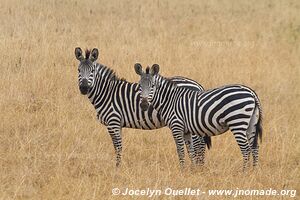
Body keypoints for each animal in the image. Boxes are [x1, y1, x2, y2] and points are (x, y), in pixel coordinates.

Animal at [74, 47, 211, 166]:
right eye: (78, 70)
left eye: (92, 71)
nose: (84, 88)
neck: (107, 93)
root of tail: (197, 85)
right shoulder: (118, 124)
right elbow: (119, 146)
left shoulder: (113, 121)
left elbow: (117, 147)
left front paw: (117, 168)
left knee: (199, 144)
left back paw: (199, 167)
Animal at [134, 63, 262, 170]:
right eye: (140, 86)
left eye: (153, 86)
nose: (144, 105)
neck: (170, 100)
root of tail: (251, 92)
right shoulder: (186, 130)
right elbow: (190, 150)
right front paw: (193, 169)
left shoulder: (176, 126)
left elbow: (180, 150)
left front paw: (182, 170)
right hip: (251, 124)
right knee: (254, 147)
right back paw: (253, 171)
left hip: (237, 122)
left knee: (246, 149)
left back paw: (244, 172)